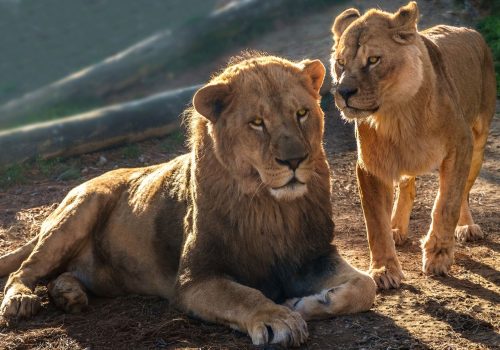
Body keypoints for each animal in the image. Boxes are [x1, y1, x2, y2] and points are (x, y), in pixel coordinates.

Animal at [0, 54, 376, 348]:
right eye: (257, 122)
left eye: (301, 113)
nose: (295, 160)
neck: (270, 208)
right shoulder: (195, 279)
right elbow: (245, 295)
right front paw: (278, 318)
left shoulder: (314, 256)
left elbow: (366, 285)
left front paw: (306, 303)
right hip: (82, 208)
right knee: (25, 269)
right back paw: (20, 300)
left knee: (61, 274)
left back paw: (69, 295)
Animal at [328, 0, 496, 290]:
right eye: (340, 63)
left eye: (374, 60)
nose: (343, 93)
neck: (398, 115)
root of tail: (469, 30)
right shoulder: (370, 166)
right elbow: (376, 223)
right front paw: (384, 269)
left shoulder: (460, 146)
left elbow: (447, 203)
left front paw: (438, 255)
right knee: (407, 187)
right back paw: (397, 228)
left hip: (478, 142)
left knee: (464, 192)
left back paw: (466, 227)